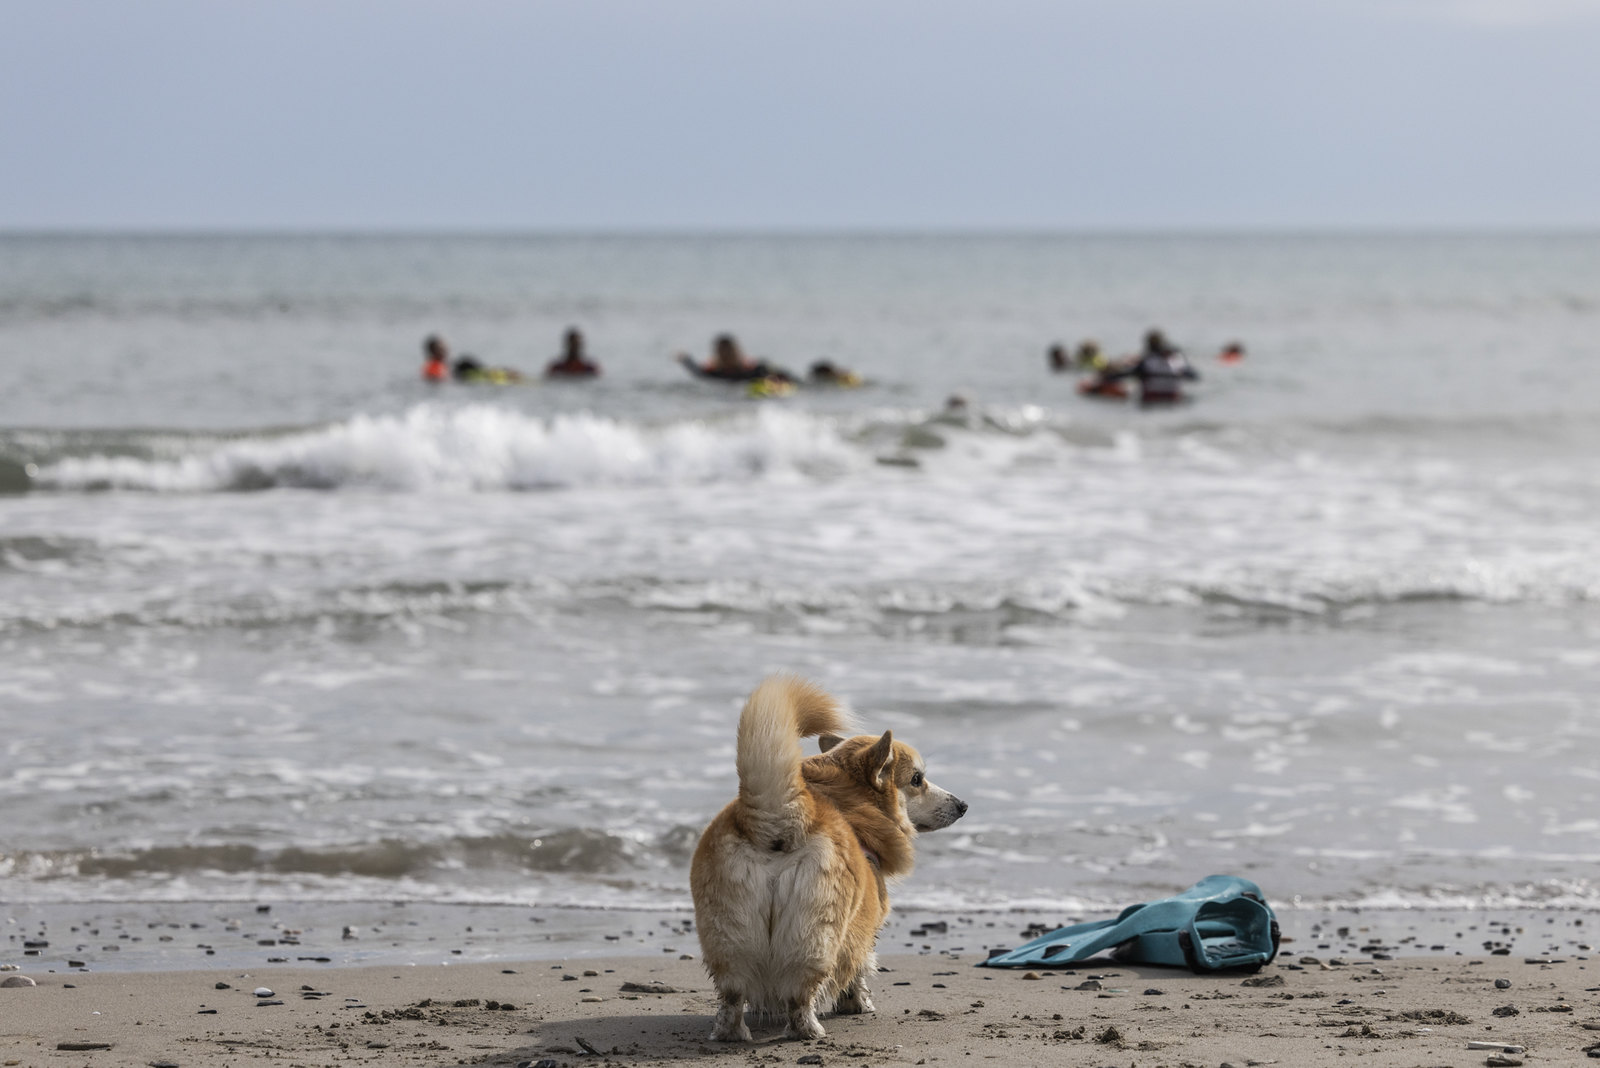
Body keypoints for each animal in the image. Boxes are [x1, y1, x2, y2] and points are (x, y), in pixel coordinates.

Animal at [691, 674, 966, 1042]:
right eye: (917, 779)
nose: (963, 805)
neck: (845, 799)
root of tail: (781, 814)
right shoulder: (864, 927)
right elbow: (860, 969)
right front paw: (858, 1004)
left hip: (728, 932)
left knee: (732, 995)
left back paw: (731, 1033)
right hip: (817, 933)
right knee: (801, 994)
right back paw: (809, 1030)